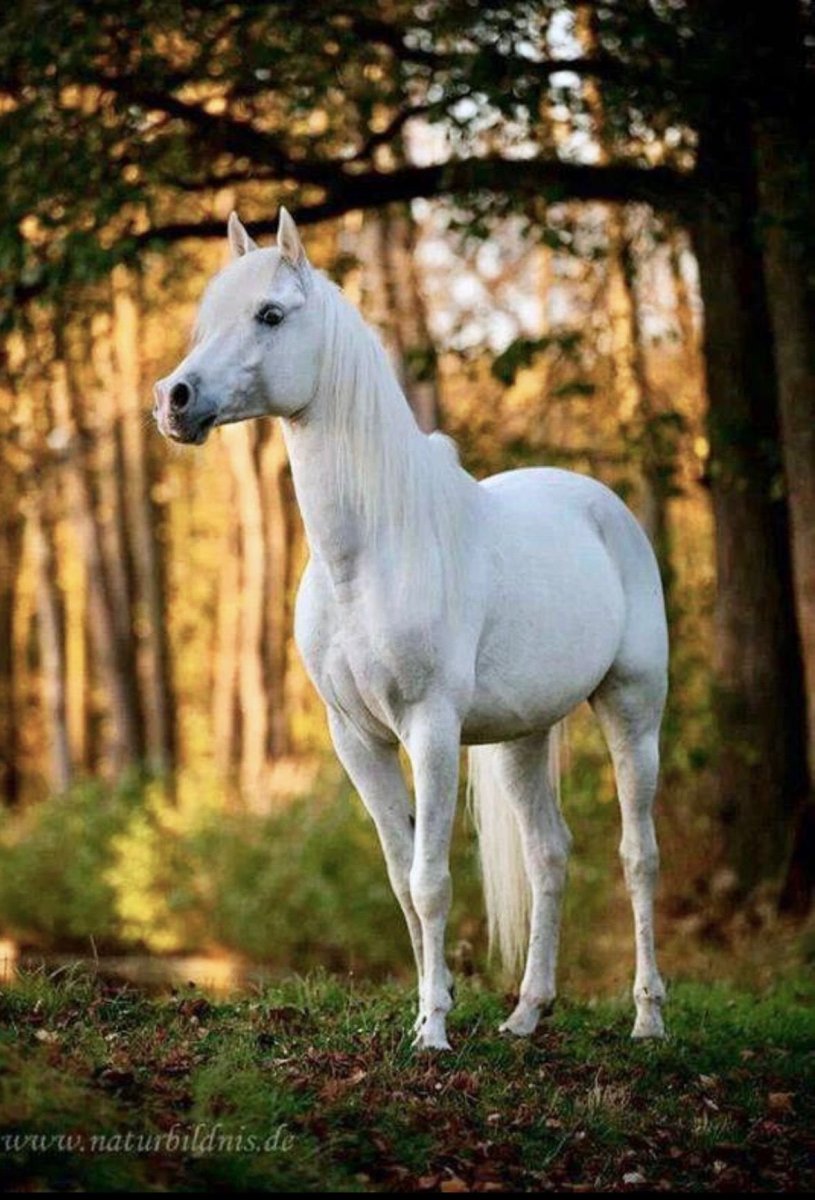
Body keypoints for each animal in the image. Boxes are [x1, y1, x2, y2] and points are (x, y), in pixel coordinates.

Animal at [154, 208, 668, 1051]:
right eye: (209, 319)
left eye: (270, 315)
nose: (173, 399)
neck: (369, 553)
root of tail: (602, 506)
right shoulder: (356, 739)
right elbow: (400, 877)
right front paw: (436, 1003)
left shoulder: (427, 730)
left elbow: (430, 881)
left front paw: (431, 1029)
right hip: (523, 737)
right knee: (549, 855)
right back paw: (526, 1013)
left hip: (632, 710)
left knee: (637, 856)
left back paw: (647, 1017)